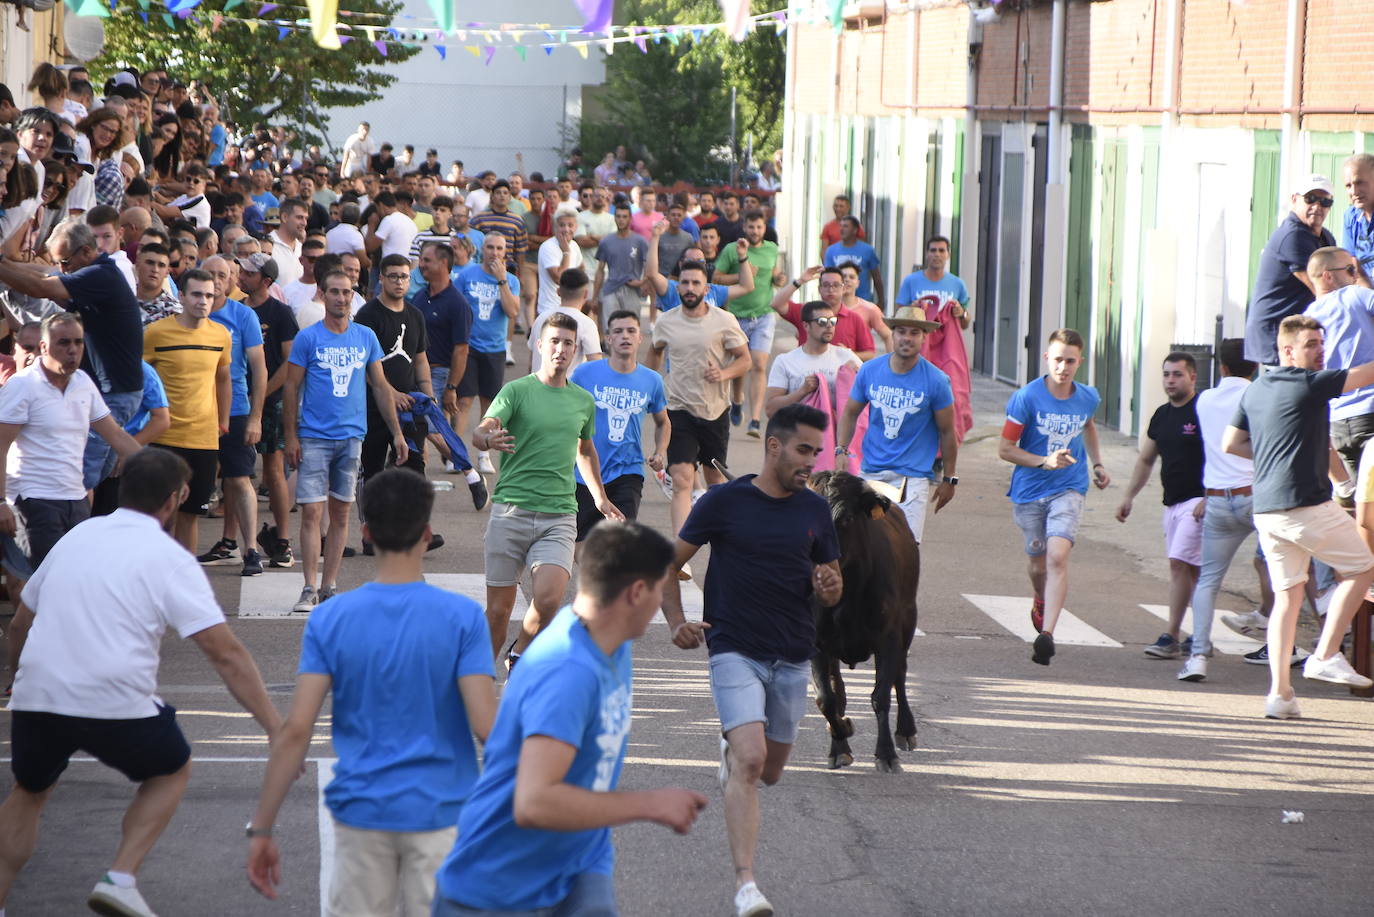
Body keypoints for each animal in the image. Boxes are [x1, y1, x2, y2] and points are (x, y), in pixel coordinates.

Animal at [807, 470, 917, 769]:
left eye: (845, 518)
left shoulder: (888, 638)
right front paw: (841, 736)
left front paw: (886, 754)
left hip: (909, 619)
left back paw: (906, 731)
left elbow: (881, 695)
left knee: (900, 675)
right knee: (838, 688)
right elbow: (827, 699)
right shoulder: (817, 644)